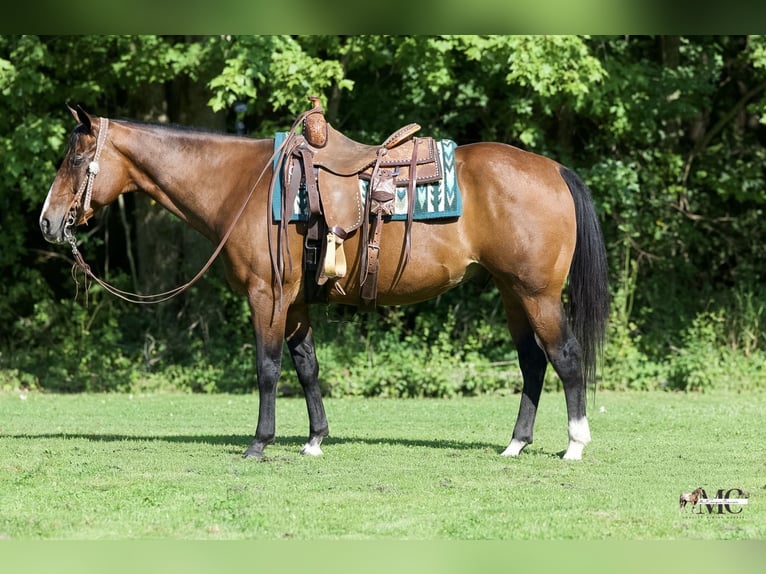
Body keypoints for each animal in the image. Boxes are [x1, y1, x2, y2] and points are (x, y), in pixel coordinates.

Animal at [39, 104, 609, 461]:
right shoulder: (295, 303)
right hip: (512, 292)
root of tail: (554, 170)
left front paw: (259, 442)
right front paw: (314, 439)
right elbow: (307, 367)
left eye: (75, 158)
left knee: (565, 357)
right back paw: (516, 444)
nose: (48, 222)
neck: (244, 187)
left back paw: (575, 445)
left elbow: (268, 368)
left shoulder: (267, 296)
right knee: (533, 362)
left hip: (536, 294)